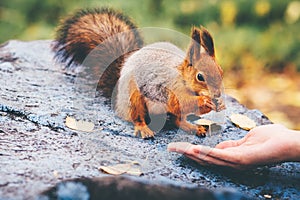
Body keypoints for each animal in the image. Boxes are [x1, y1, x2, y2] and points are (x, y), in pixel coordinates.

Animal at [52, 8, 224, 139]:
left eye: (221, 72)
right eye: (200, 77)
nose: (217, 94)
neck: (182, 78)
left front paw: (219, 104)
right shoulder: (170, 88)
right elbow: (181, 102)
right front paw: (204, 101)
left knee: (177, 121)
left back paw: (194, 128)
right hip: (134, 99)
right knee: (137, 118)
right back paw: (143, 129)